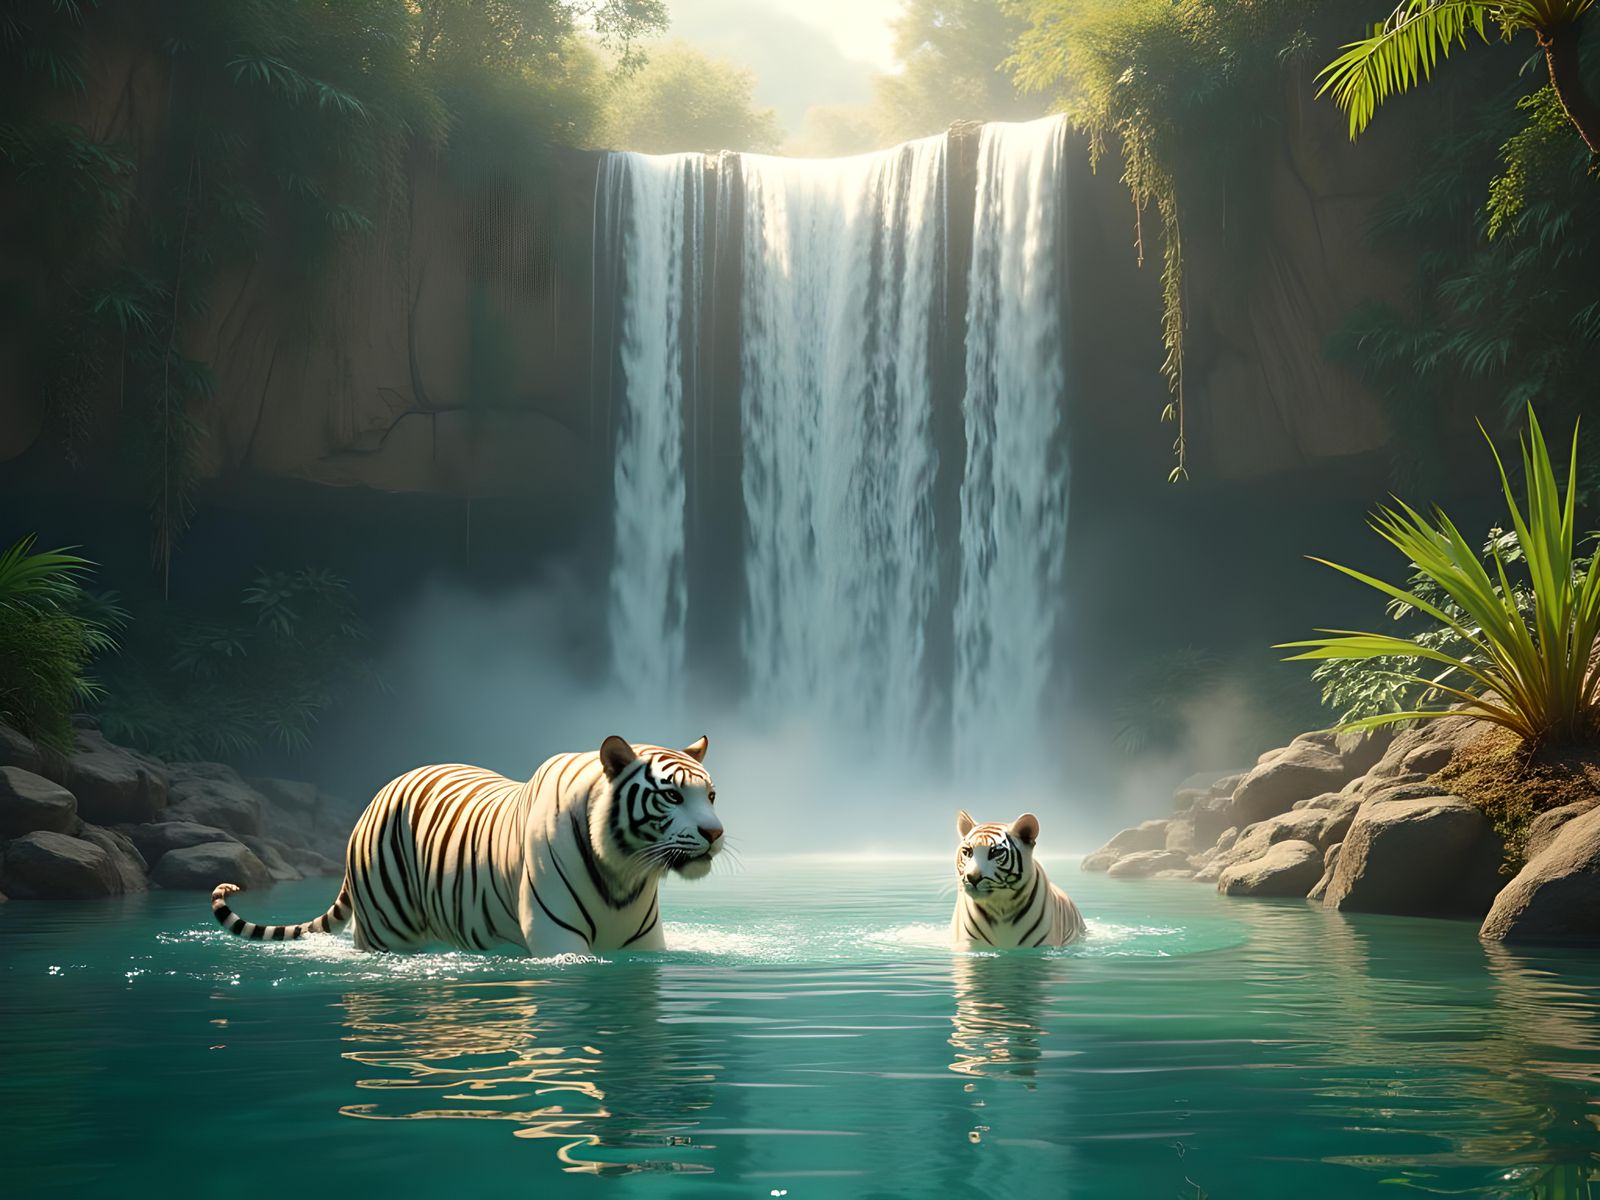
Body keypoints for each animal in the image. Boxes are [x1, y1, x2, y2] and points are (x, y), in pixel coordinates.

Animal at [210, 734, 722, 955]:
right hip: (384, 930)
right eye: (672, 795)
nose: (715, 834)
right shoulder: (558, 939)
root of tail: (377, 795)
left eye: (711, 795)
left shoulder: (643, 944)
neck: (624, 873)